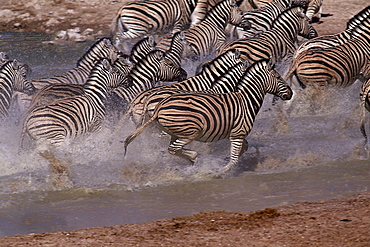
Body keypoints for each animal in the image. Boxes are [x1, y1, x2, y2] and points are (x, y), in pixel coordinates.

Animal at [123, 59, 292, 175]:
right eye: (278, 77)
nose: (290, 93)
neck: (245, 100)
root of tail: (157, 105)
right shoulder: (238, 133)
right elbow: (234, 159)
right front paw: (218, 172)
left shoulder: (235, 133)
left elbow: (243, 149)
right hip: (189, 132)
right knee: (173, 148)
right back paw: (194, 158)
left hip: (173, 131)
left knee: (172, 148)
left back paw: (191, 159)